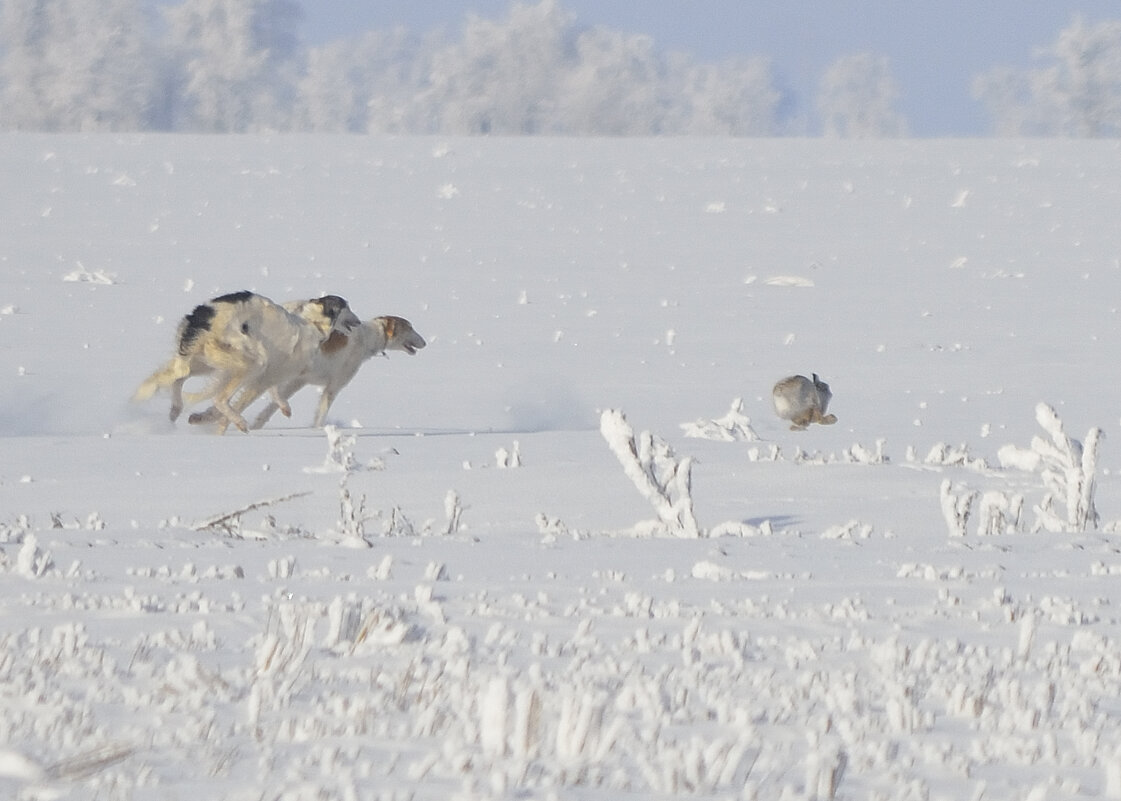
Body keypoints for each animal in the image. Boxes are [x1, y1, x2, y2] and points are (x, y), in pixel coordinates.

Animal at [132, 289, 358, 432]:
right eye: (346, 306)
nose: (357, 321)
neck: (312, 324)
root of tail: (205, 316)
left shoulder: (271, 373)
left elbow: (275, 393)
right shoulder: (265, 376)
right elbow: (236, 402)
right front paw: (212, 422)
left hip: (203, 361)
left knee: (177, 378)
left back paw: (174, 410)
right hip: (250, 360)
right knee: (219, 398)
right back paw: (239, 423)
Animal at [190, 311, 425, 430]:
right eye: (410, 327)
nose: (424, 342)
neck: (366, 338)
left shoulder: (299, 381)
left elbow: (273, 407)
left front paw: (259, 423)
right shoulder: (333, 386)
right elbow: (320, 413)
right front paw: (318, 430)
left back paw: (202, 418)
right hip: (259, 375)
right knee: (226, 401)